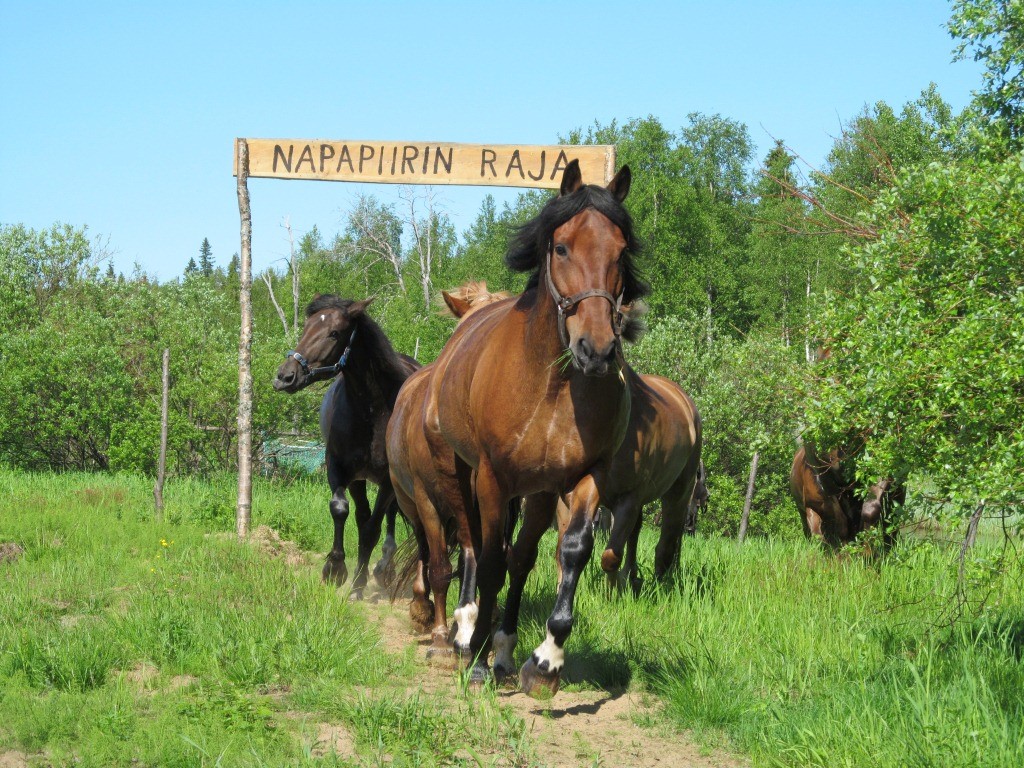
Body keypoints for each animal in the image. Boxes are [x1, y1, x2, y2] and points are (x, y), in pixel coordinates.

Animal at [273, 295, 419, 595]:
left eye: (334, 333)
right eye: (306, 328)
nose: (285, 376)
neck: (371, 410)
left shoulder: (388, 480)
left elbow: (372, 529)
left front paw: (357, 585)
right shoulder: (340, 469)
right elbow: (340, 510)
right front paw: (335, 569)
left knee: (387, 516)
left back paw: (384, 566)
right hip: (360, 480)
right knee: (364, 515)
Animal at [386, 282, 513, 657]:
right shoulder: (430, 501)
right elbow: (441, 567)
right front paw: (443, 635)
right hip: (413, 505)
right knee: (427, 553)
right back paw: (423, 608)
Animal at [424, 159, 647, 696]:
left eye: (621, 250)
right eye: (561, 246)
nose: (597, 349)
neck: (552, 385)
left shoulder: (586, 477)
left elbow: (571, 552)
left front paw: (545, 661)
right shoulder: (492, 478)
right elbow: (488, 562)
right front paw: (477, 660)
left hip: (541, 492)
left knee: (520, 557)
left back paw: (504, 651)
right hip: (463, 472)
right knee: (474, 544)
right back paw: (469, 634)